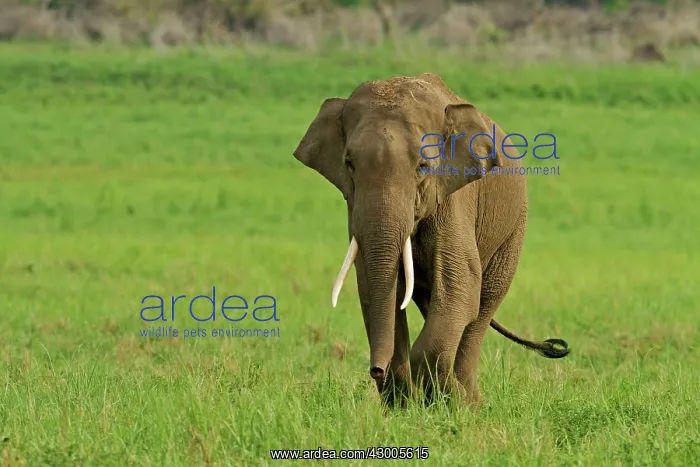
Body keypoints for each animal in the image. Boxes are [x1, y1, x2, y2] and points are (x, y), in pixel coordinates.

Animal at [292, 72, 569, 407]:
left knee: (482, 306)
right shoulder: (353, 205)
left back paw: (467, 402)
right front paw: (403, 409)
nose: (375, 369)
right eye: (349, 164)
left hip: (515, 227)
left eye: (423, 165)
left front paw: (443, 402)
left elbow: (460, 283)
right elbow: (375, 286)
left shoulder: (454, 196)